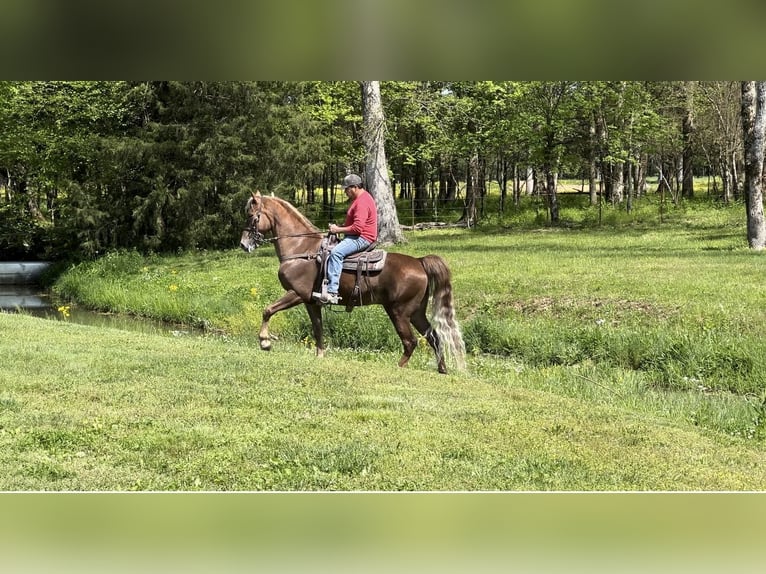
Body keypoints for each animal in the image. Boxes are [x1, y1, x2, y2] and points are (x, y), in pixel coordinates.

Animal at [240, 191, 468, 376]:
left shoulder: (296, 293)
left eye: (251, 216)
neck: (301, 249)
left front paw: (265, 341)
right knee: (434, 337)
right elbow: (318, 328)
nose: (243, 244)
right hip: (416, 312)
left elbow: (268, 310)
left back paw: (399, 367)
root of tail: (419, 262)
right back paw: (442, 369)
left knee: (410, 342)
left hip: (399, 312)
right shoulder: (311, 302)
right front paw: (320, 355)